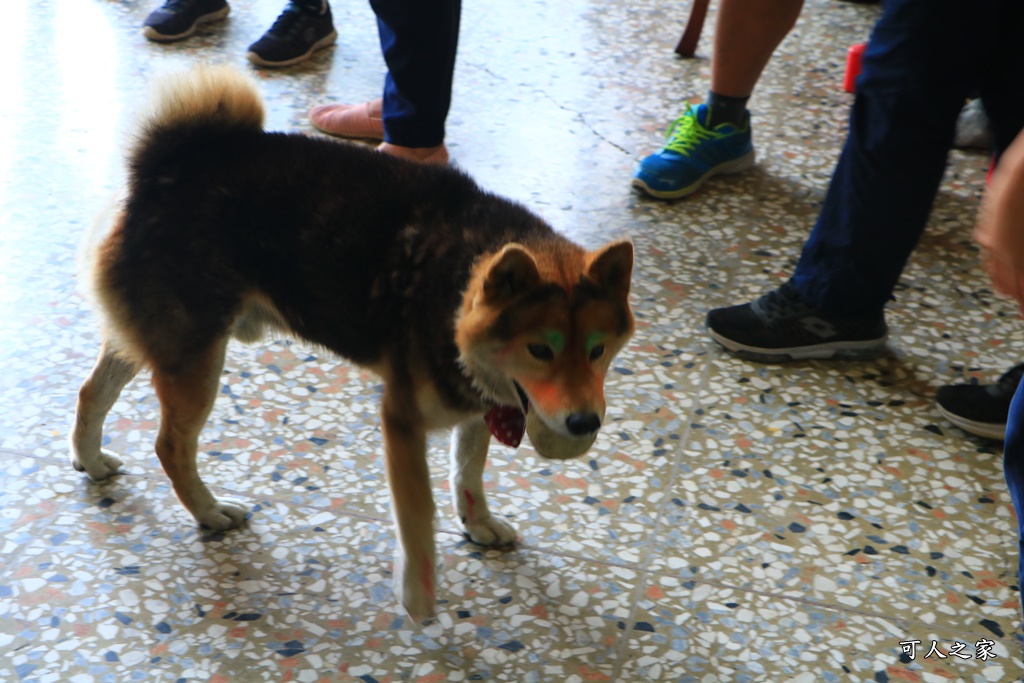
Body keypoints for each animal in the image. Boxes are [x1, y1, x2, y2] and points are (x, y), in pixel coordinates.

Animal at [72, 66, 630, 622]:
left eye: (597, 350)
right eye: (541, 350)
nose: (585, 423)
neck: (455, 287)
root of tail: (161, 166)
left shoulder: (483, 403)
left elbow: (468, 474)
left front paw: (477, 524)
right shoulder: (403, 420)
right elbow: (418, 516)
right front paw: (418, 596)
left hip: (156, 340)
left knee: (91, 392)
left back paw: (90, 459)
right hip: (195, 358)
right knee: (170, 446)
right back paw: (208, 511)